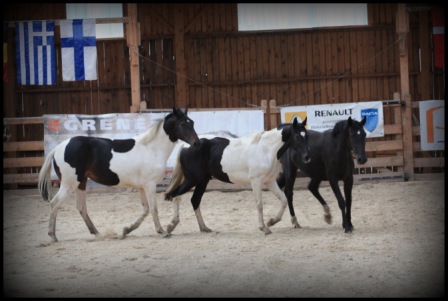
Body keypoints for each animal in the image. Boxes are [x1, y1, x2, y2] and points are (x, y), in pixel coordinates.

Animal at [37, 106, 199, 240]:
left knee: (81, 207)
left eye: (192, 122)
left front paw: (126, 230)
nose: (197, 143)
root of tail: (57, 148)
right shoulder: (150, 185)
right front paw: (162, 231)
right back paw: (53, 235)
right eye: (183, 124)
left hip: (80, 183)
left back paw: (97, 233)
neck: (151, 149)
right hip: (68, 184)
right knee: (54, 203)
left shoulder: (142, 187)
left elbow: (145, 210)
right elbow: (153, 209)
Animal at [164, 117, 312, 234]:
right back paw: (170, 227)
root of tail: (186, 144)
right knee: (175, 196)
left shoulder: (269, 181)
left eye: (307, 136)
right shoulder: (256, 181)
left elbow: (283, 200)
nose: (307, 157)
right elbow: (259, 204)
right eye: (297, 136)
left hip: (202, 181)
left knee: (194, 200)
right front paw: (264, 228)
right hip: (192, 179)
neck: (266, 149)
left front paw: (272, 221)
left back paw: (204, 228)